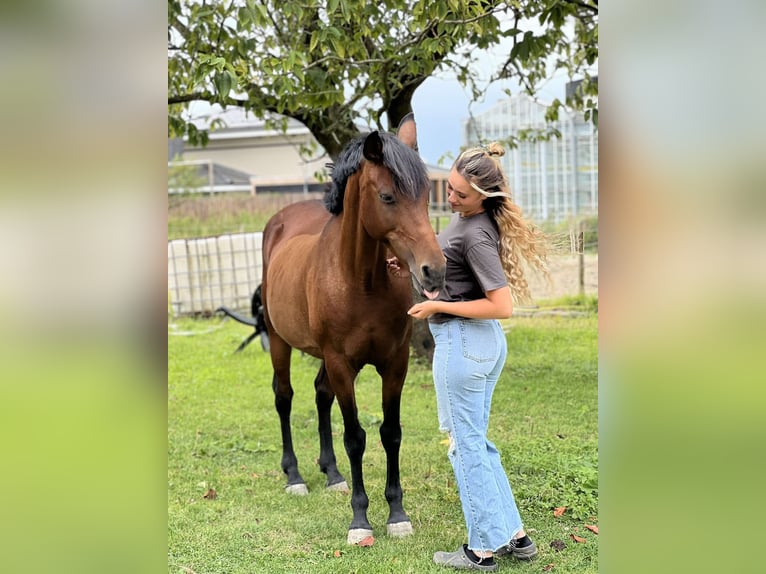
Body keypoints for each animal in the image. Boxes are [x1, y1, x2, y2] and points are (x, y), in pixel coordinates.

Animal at [260, 115, 448, 548]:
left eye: (427, 195)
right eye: (387, 196)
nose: (434, 270)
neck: (360, 281)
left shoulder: (393, 363)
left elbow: (391, 433)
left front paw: (397, 515)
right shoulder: (342, 363)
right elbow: (355, 437)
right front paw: (360, 521)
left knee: (319, 394)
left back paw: (332, 474)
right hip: (280, 342)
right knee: (284, 397)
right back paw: (294, 476)